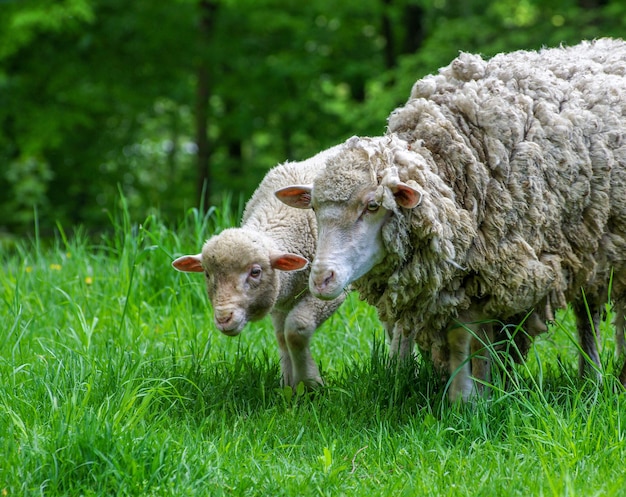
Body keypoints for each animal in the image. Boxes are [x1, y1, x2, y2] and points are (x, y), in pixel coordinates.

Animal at [172, 145, 346, 390]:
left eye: (255, 272)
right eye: (207, 273)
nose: (224, 318)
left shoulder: (330, 289)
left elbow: (296, 329)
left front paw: (310, 383)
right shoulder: (282, 296)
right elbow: (282, 338)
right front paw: (290, 386)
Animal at [278, 39, 624, 404]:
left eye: (373, 205)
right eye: (314, 208)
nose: (321, 280)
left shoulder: (492, 270)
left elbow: (471, 338)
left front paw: (470, 397)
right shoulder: (463, 278)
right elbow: (465, 339)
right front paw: (477, 393)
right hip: (591, 247)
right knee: (588, 311)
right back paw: (590, 378)